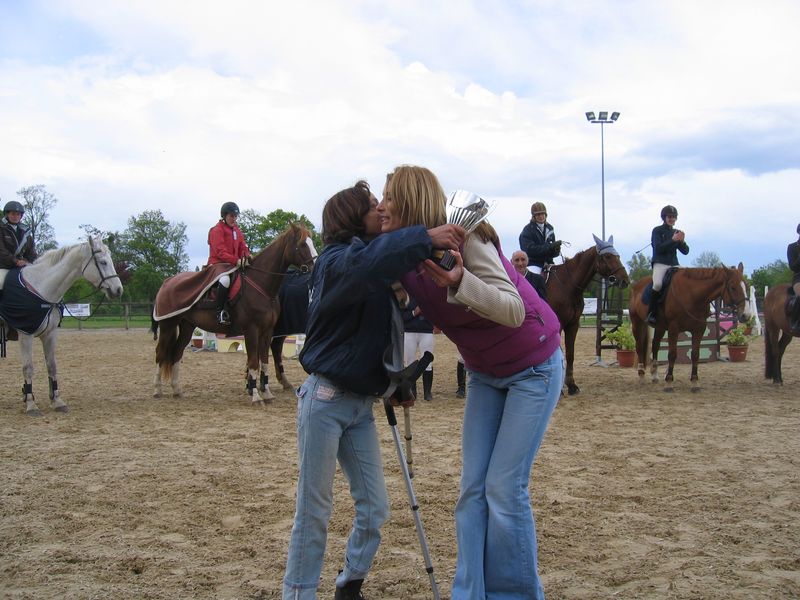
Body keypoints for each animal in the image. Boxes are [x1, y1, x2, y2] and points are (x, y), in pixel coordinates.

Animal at [0, 237, 123, 414]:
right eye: (103, 262)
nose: (118, 289)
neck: (41, 288)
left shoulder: (50, 334)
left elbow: (52, 366)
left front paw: (57, 401)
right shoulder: (25, 334)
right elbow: (28, 368)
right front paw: (30, 403)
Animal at [152, 223, 314, 406]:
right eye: (302, 244)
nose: (315, 266)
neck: (261, 285)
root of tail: (167, 281)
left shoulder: (267, 331)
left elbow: (264, 361)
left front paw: (266, 392)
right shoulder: (251, 330)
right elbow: (253, 361)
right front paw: (256, 395)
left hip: (187, 326)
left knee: (176, 353)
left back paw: (177, 389)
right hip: (168, 325)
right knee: (161, 353)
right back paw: (157, 389)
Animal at [548, 233, 628, 394]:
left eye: (618, 256)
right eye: (608, 256)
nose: (625, 280)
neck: (567, 285)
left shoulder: (573, 324)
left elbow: (570, 354)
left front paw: (571, 385)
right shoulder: (558, 325)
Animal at [632, 264, 752, 392]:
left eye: (746, 287)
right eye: (733, 287)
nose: (746, 315)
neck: (692, 295)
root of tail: (637, 284)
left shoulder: (699, 329)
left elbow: (695, 354)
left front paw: (694, 382)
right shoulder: (674, 328)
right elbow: (672, 354)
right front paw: (669, 382)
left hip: (660, 327)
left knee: (655, 345)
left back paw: (654, 375)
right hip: (637, 323)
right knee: (639, 347)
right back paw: (641, 374)